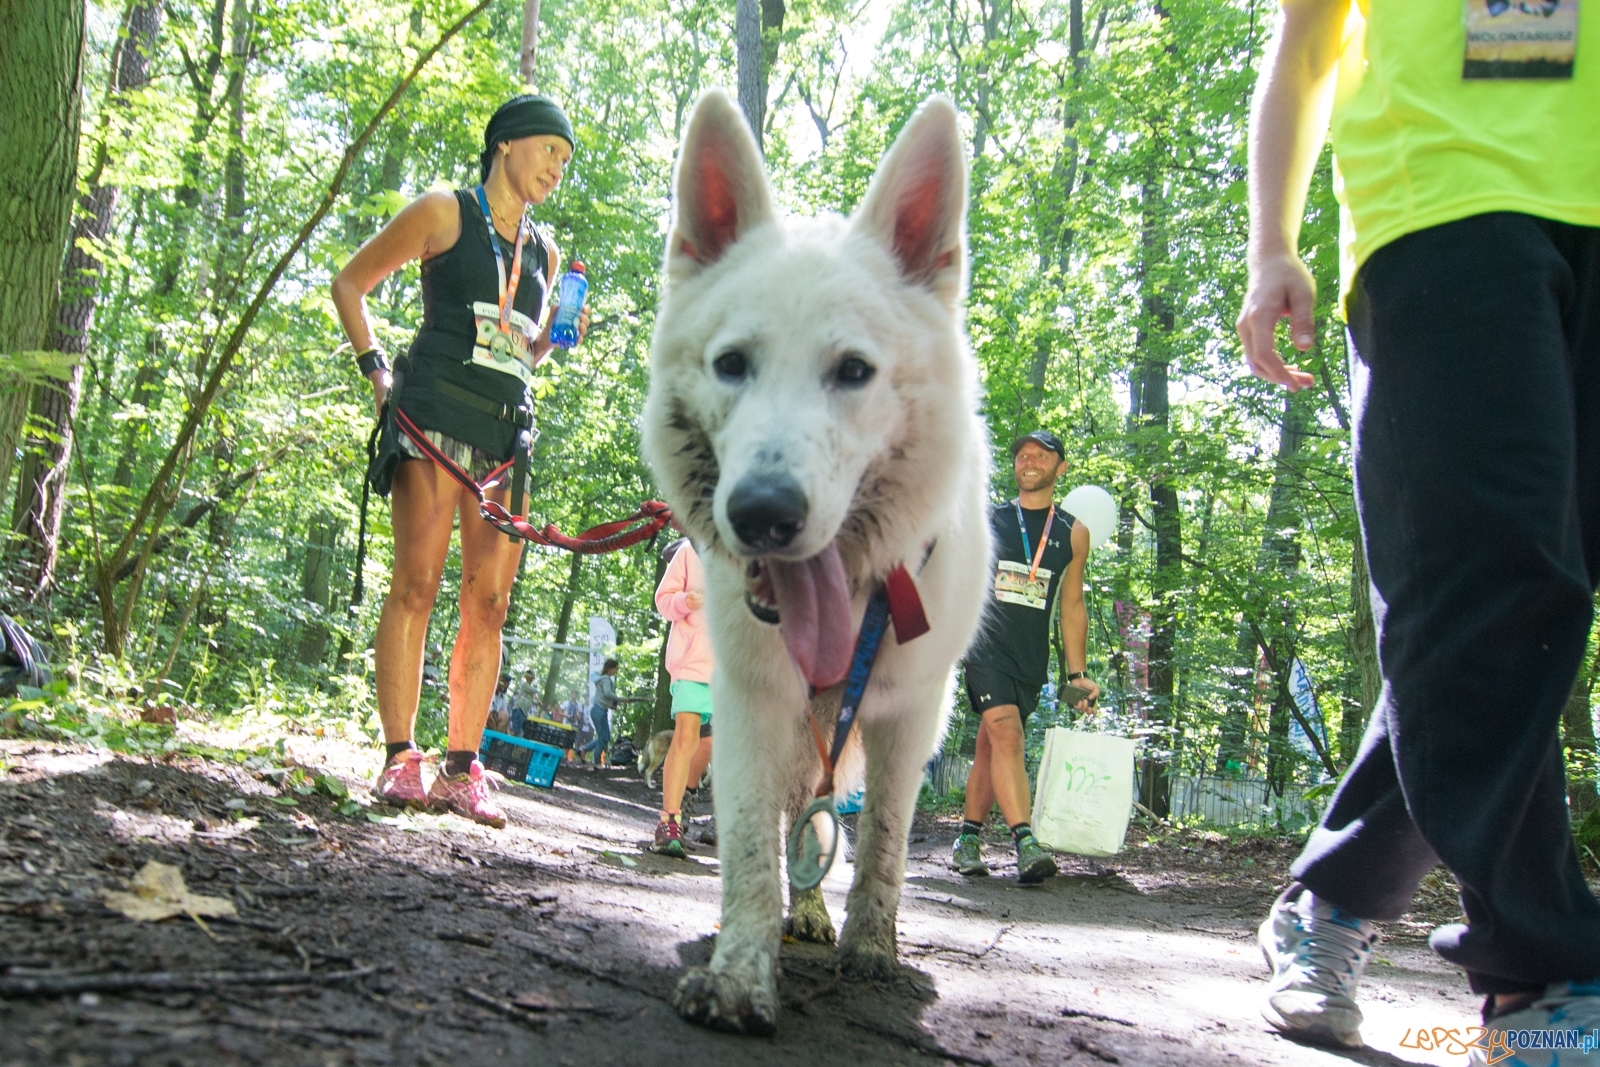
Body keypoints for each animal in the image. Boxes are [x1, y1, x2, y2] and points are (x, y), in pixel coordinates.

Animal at [636, 91, 985, 1036]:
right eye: (731, 364)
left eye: (853, 371)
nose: (762, 513)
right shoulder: (750, 702)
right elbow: (757, 847)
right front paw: (738, 975)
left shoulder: (909, 718)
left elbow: (885, 843)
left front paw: (872, 947)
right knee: (800, 817)